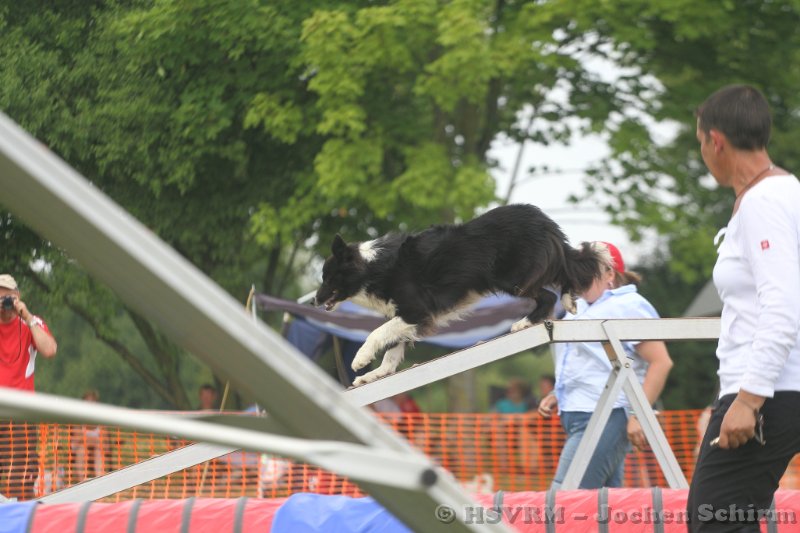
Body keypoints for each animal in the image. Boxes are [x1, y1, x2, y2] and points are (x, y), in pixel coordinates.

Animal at [314, 204, 611, 386]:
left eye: (328, 277)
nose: (315, 300)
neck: (371, 268)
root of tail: (542, 219)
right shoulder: (407, 316)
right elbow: (392, 349)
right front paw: (375, 375)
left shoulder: (416, 310)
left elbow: (377, 333)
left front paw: (360, 360)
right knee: (565, 271)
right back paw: (569, 301)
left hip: (511, 278)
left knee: (549, 294)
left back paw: (524, 323)